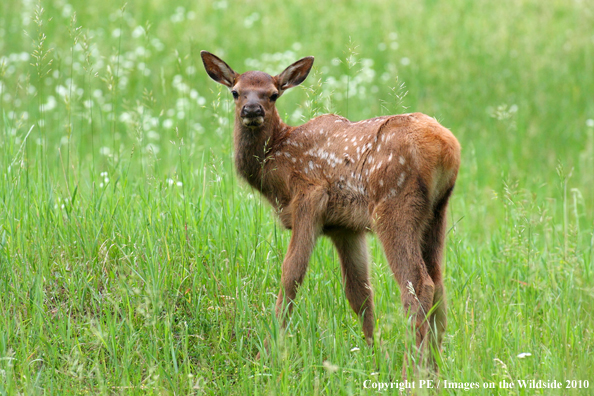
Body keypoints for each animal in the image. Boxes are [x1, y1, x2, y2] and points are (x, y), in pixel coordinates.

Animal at [201, 51, 460, 372]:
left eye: (273, 94)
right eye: (236, 91)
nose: (251, 110)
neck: (277, 165)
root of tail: (447, 148)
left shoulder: (310, 196)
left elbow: (291, 274)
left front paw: (265, 355)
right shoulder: (344, 227)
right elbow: (359, 293)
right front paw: (374, 356)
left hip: (395, 204)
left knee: (418, 284)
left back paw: (411, 369)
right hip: (437, 213)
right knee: (439, 284)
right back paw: (434, 369)